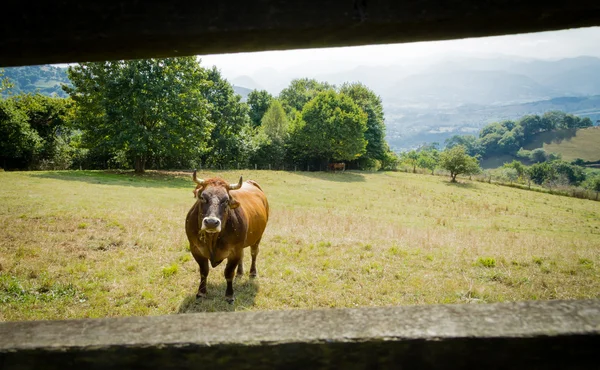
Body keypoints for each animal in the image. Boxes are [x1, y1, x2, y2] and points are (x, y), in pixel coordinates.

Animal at [183, 172, 268, 302]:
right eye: (202, 197)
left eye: (226, 200)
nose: (211, 222)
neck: (212, 239)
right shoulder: (195, 248)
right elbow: (203, 271)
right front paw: (201, 292)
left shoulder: (235, 251)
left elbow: (228, 273)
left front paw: (229, 295)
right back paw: (240, 273)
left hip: (257, 238)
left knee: (254, 253)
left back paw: (252, 273)